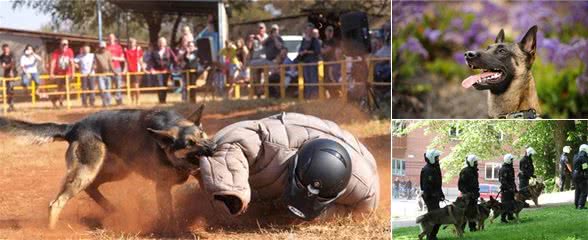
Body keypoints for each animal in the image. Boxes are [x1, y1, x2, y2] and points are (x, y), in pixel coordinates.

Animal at [0, 105, 214, 231]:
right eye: (189, 143)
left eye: (202, 134)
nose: (212, 148)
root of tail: (73, 127)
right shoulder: (161, 188)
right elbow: (168, 215)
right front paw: (172, 231)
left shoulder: (198, 176)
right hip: (87, 171)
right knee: (56, 203)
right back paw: (52, 230)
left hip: (115, 171)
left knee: (91, 188)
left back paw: (112, 209)